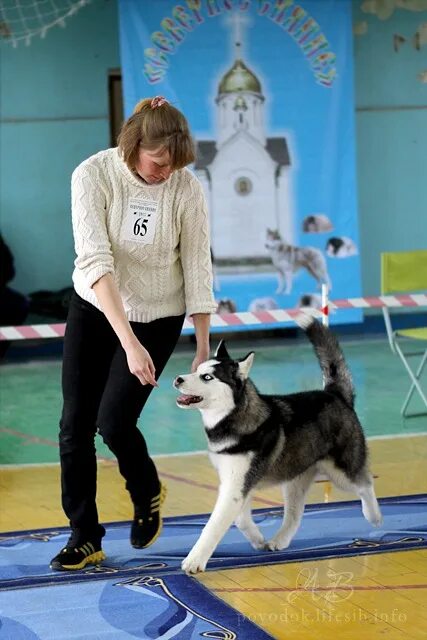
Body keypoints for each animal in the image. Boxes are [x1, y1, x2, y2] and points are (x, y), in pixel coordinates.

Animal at [176, 316, 382, 576]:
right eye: (197, 370)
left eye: (207, 377)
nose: (178, 379)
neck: (233, 418)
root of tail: (334, 394)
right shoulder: (237, 483)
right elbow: (240, 519)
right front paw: (257, 539)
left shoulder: (236, 485)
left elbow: (213, 526)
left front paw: (195, 560)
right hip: (295, 478)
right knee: (295, 514)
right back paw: (280, 540)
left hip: (342, 471)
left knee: (365, 484)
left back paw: (374, 515)